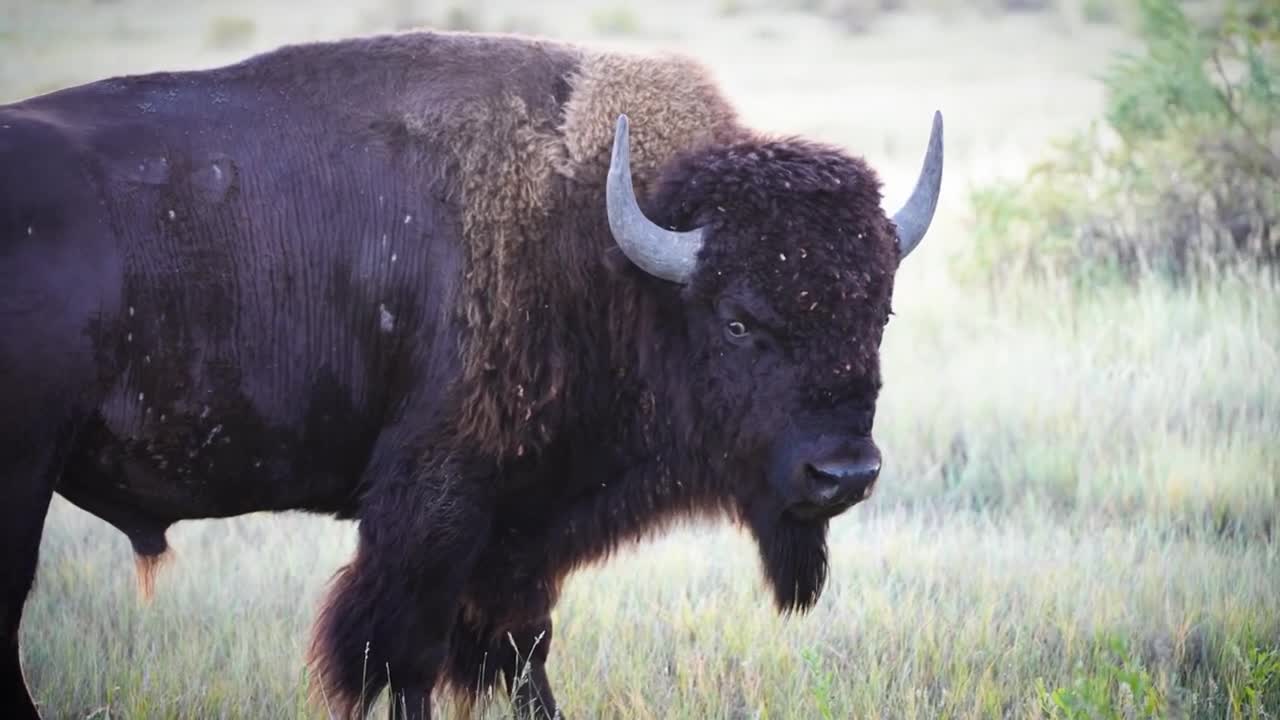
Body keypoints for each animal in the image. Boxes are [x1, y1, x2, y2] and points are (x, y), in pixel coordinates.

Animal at [0, 29, 941, 719]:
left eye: (879, 315)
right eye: (738, 319)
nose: (843, 474)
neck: (608, 255)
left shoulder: (515, 543)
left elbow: (521, 658)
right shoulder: (434, 516)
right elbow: (404, 661)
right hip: (23, 480)